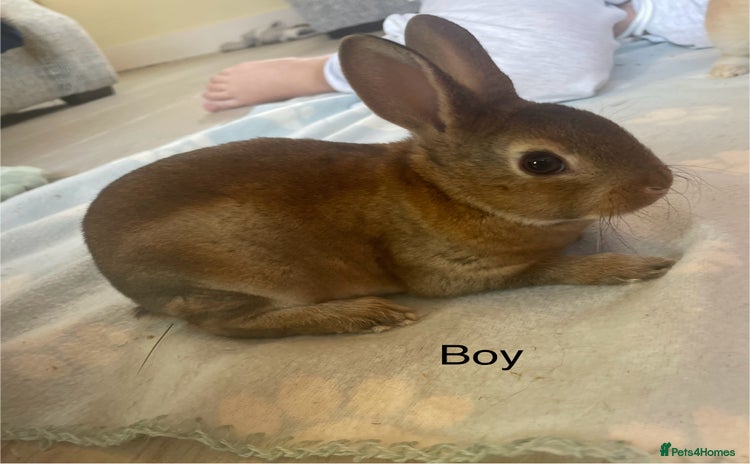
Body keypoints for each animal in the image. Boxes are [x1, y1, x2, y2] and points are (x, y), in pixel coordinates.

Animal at [83, 14, 675, 338]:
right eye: (541, 163)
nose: (661, 181)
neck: (457, 192)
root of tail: (105, 260)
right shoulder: (452, 274)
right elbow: (553, 269)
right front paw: (636, 266)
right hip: (248, 272)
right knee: (220, 323)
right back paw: (366, 316)